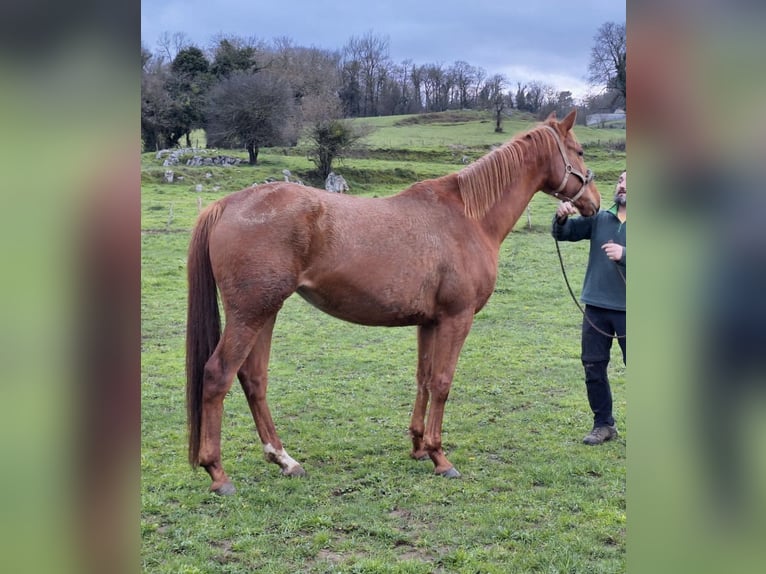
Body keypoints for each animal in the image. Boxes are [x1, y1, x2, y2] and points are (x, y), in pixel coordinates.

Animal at [186, 109, 600, 496]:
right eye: (579, 151)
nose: (595, 203)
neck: (467, 218)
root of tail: (226, 205)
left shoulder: (429, 322)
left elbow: (424, 380)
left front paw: (418, 447)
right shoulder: (457, 318)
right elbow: (443, 382)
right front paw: (440, 456)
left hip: (266, 312)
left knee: (253, 379)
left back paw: (285, 460)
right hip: (250, 314)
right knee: (217, 375)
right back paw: (218, 473)